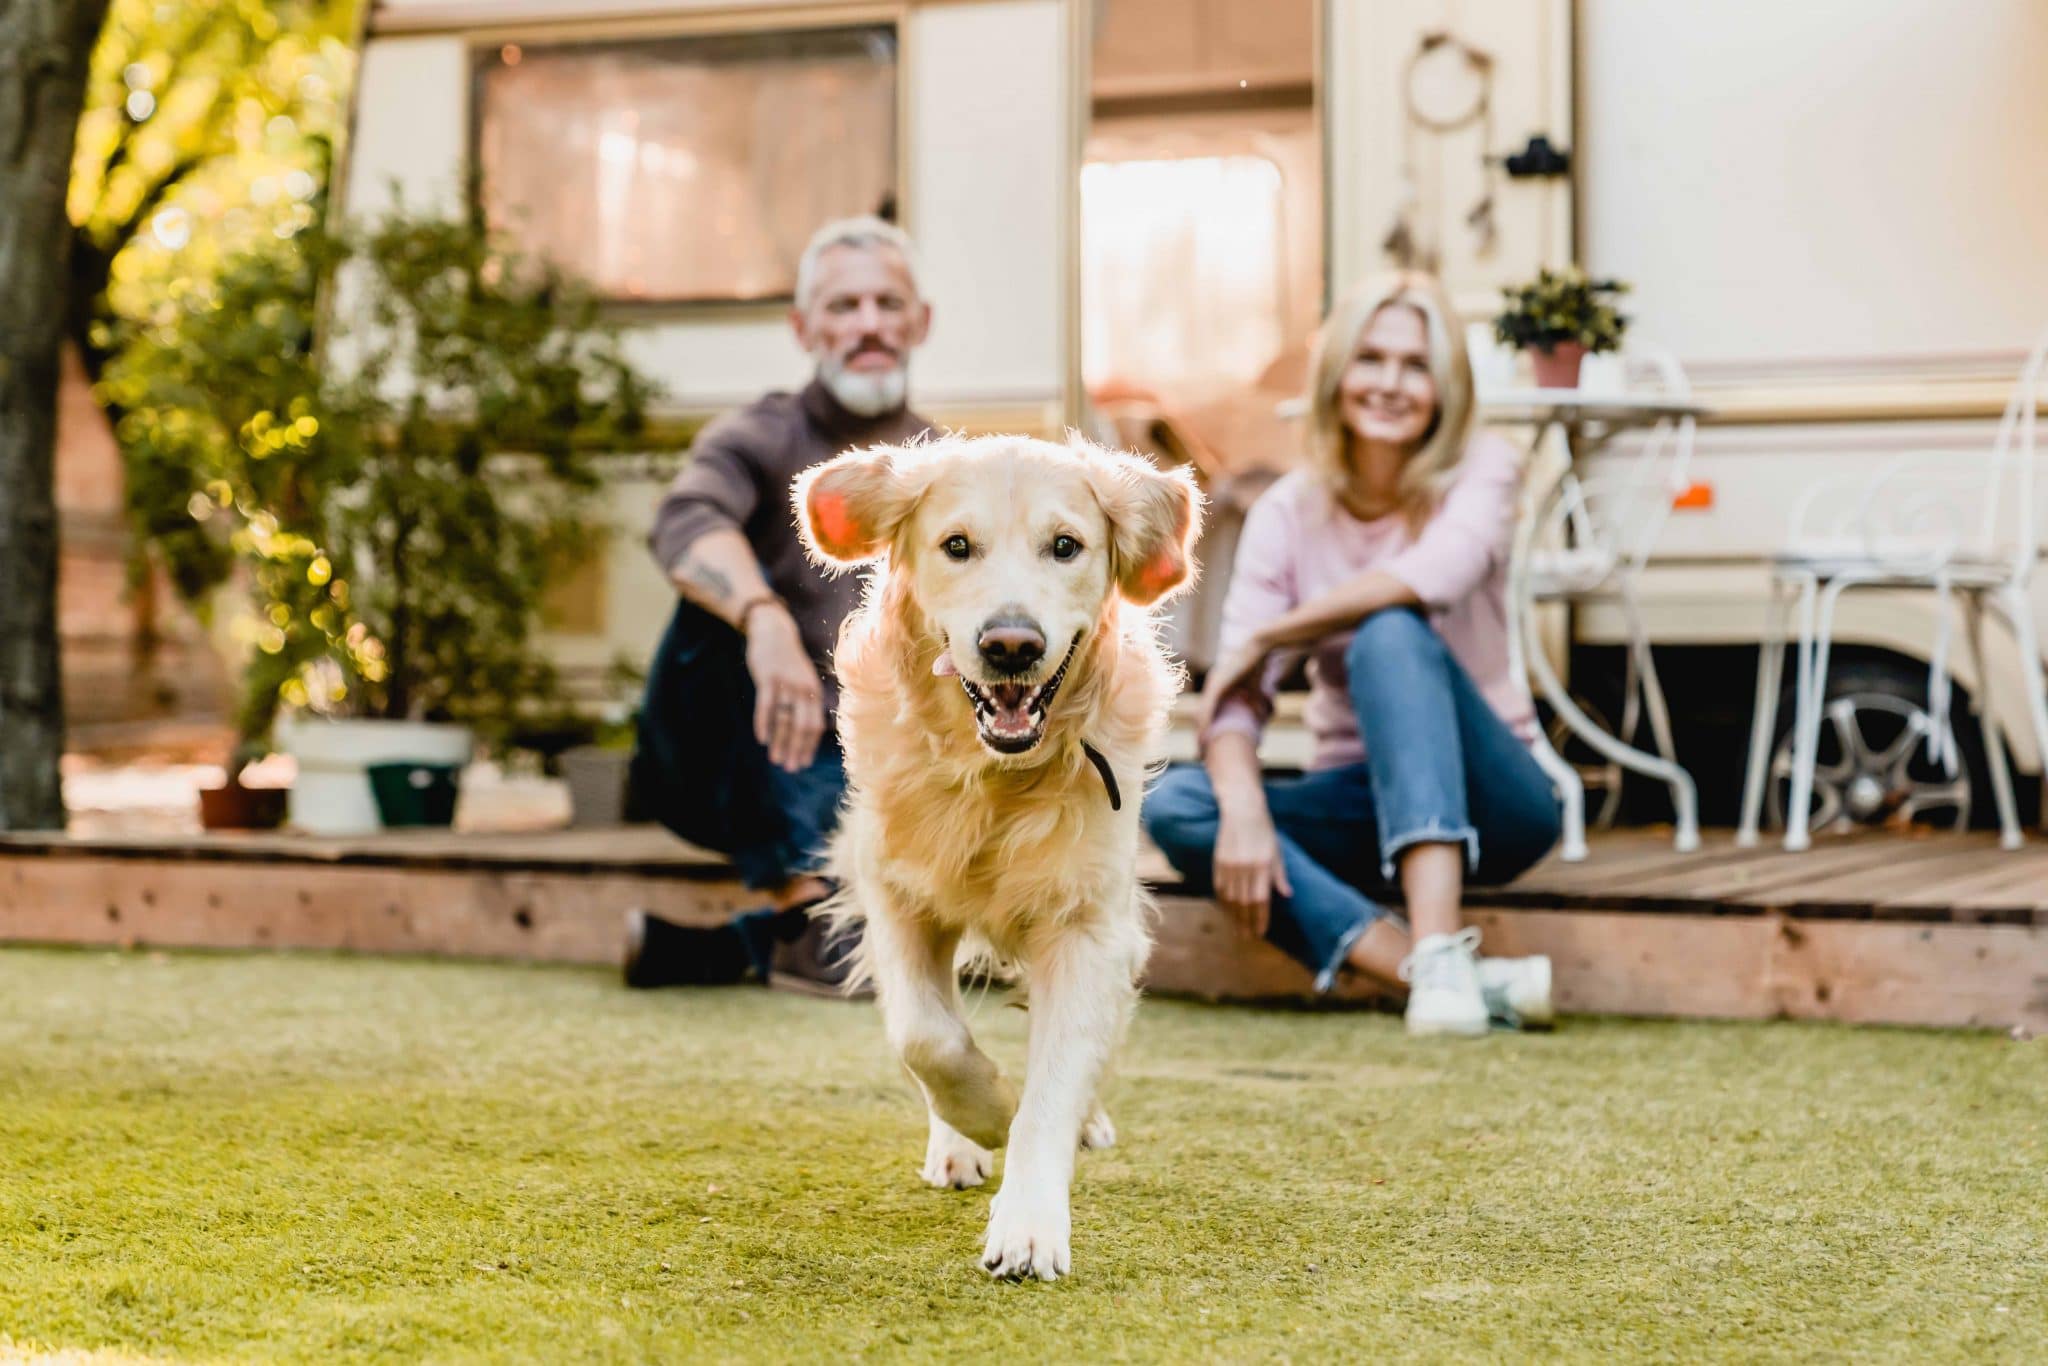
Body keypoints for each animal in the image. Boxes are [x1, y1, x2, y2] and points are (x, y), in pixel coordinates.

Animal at [786, 436, 1196, 1286]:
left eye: (1066, 546)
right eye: (956, 546)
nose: (1012, 644)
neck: (998, 779)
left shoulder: (1088, 925)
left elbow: (1055, 1080)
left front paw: (1031, 1221)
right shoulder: (899, 897)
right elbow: (928, 1038)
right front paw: (983, 1114)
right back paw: (958, 1145)